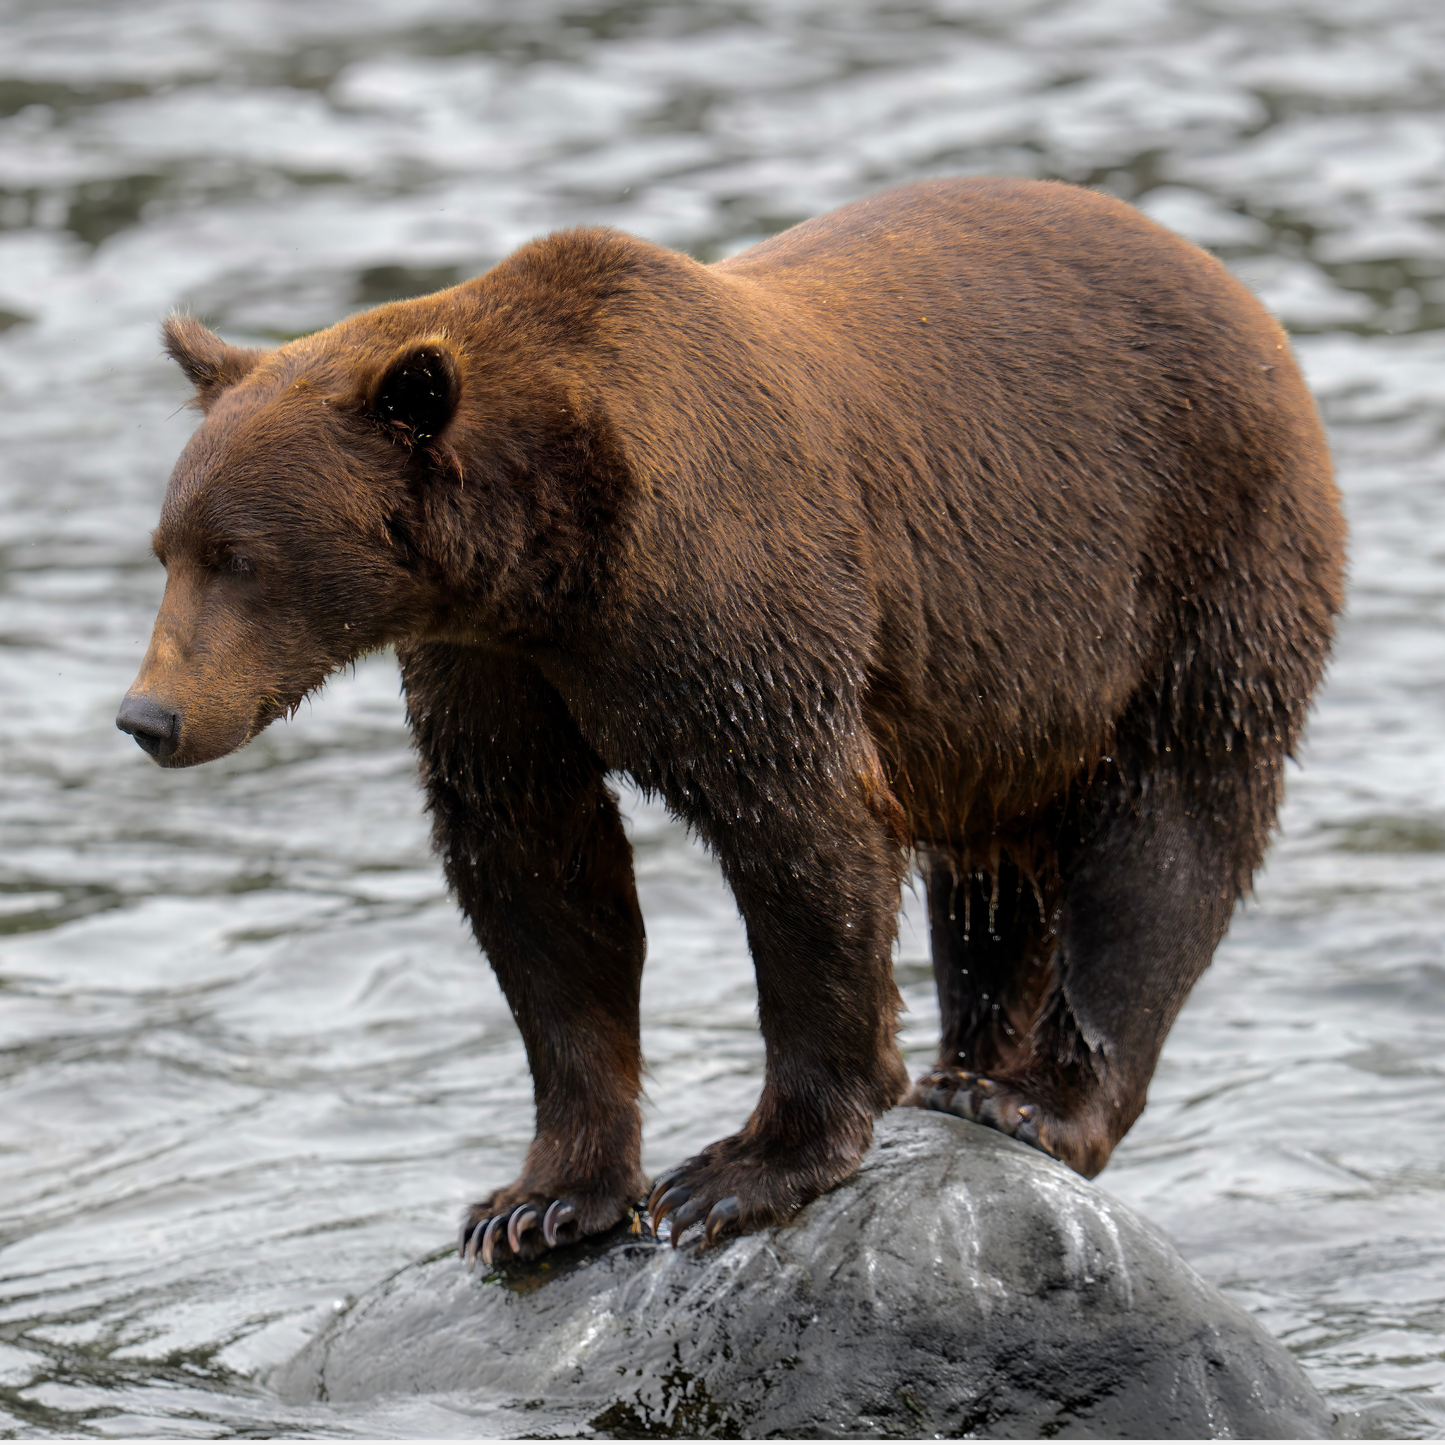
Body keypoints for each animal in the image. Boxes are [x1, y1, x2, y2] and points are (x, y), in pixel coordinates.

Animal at [118, 177, 1345, 1267]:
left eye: (240, 556)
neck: (551, 557)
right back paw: (963, 1069)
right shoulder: (495, 670)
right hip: (1004, 690)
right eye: (167, 546)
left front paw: (738, 1172)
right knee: (994, 873)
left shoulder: (733, 603)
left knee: (1166, 829)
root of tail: (1237, 293)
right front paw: (537, 1201)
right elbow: (538, 875)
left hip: (1192, 558)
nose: (149, 714)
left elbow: (803, 840)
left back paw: (1038, 1099)